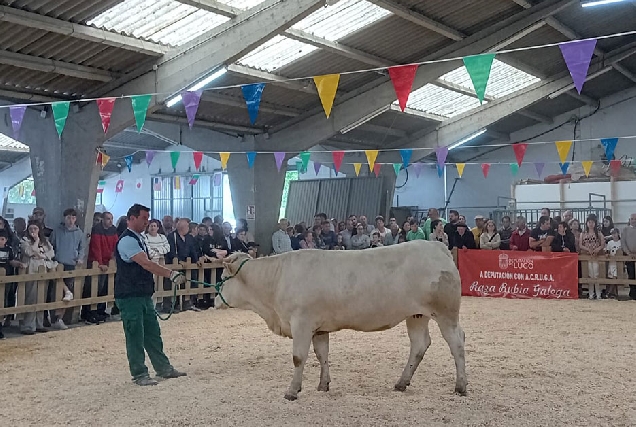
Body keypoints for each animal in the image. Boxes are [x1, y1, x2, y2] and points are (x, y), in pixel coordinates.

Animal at [215, 241, 468, 402]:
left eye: (223, 277)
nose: (215, 301)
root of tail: (436, 246)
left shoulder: (302, 322)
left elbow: (298, 358)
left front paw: (292, 391)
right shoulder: (318, 327)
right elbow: (322, 354)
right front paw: (323, 385)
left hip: (446, 313)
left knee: (457, 343)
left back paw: (461, 386)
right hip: (416, 315)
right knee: (419, 344)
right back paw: (401, 383)